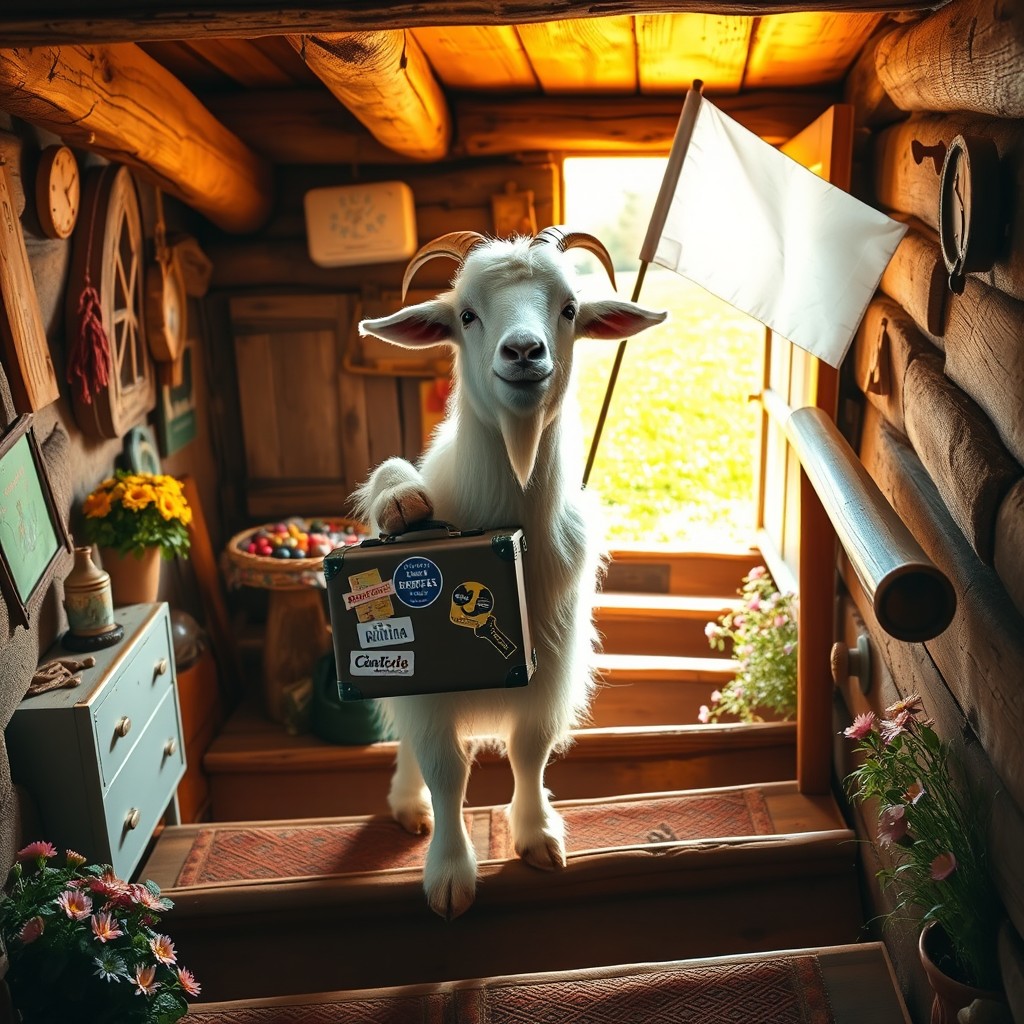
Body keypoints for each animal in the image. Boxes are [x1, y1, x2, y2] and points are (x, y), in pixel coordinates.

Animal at [354, 227, 666, 919]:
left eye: (570, 308)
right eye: (466, 314)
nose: (524, 351)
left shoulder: (550, 663)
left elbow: (531, 751)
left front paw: (536, 835)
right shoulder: (429, 685)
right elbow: (445, 769)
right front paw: (449, 873)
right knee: (411, 749)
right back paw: (407, 804)